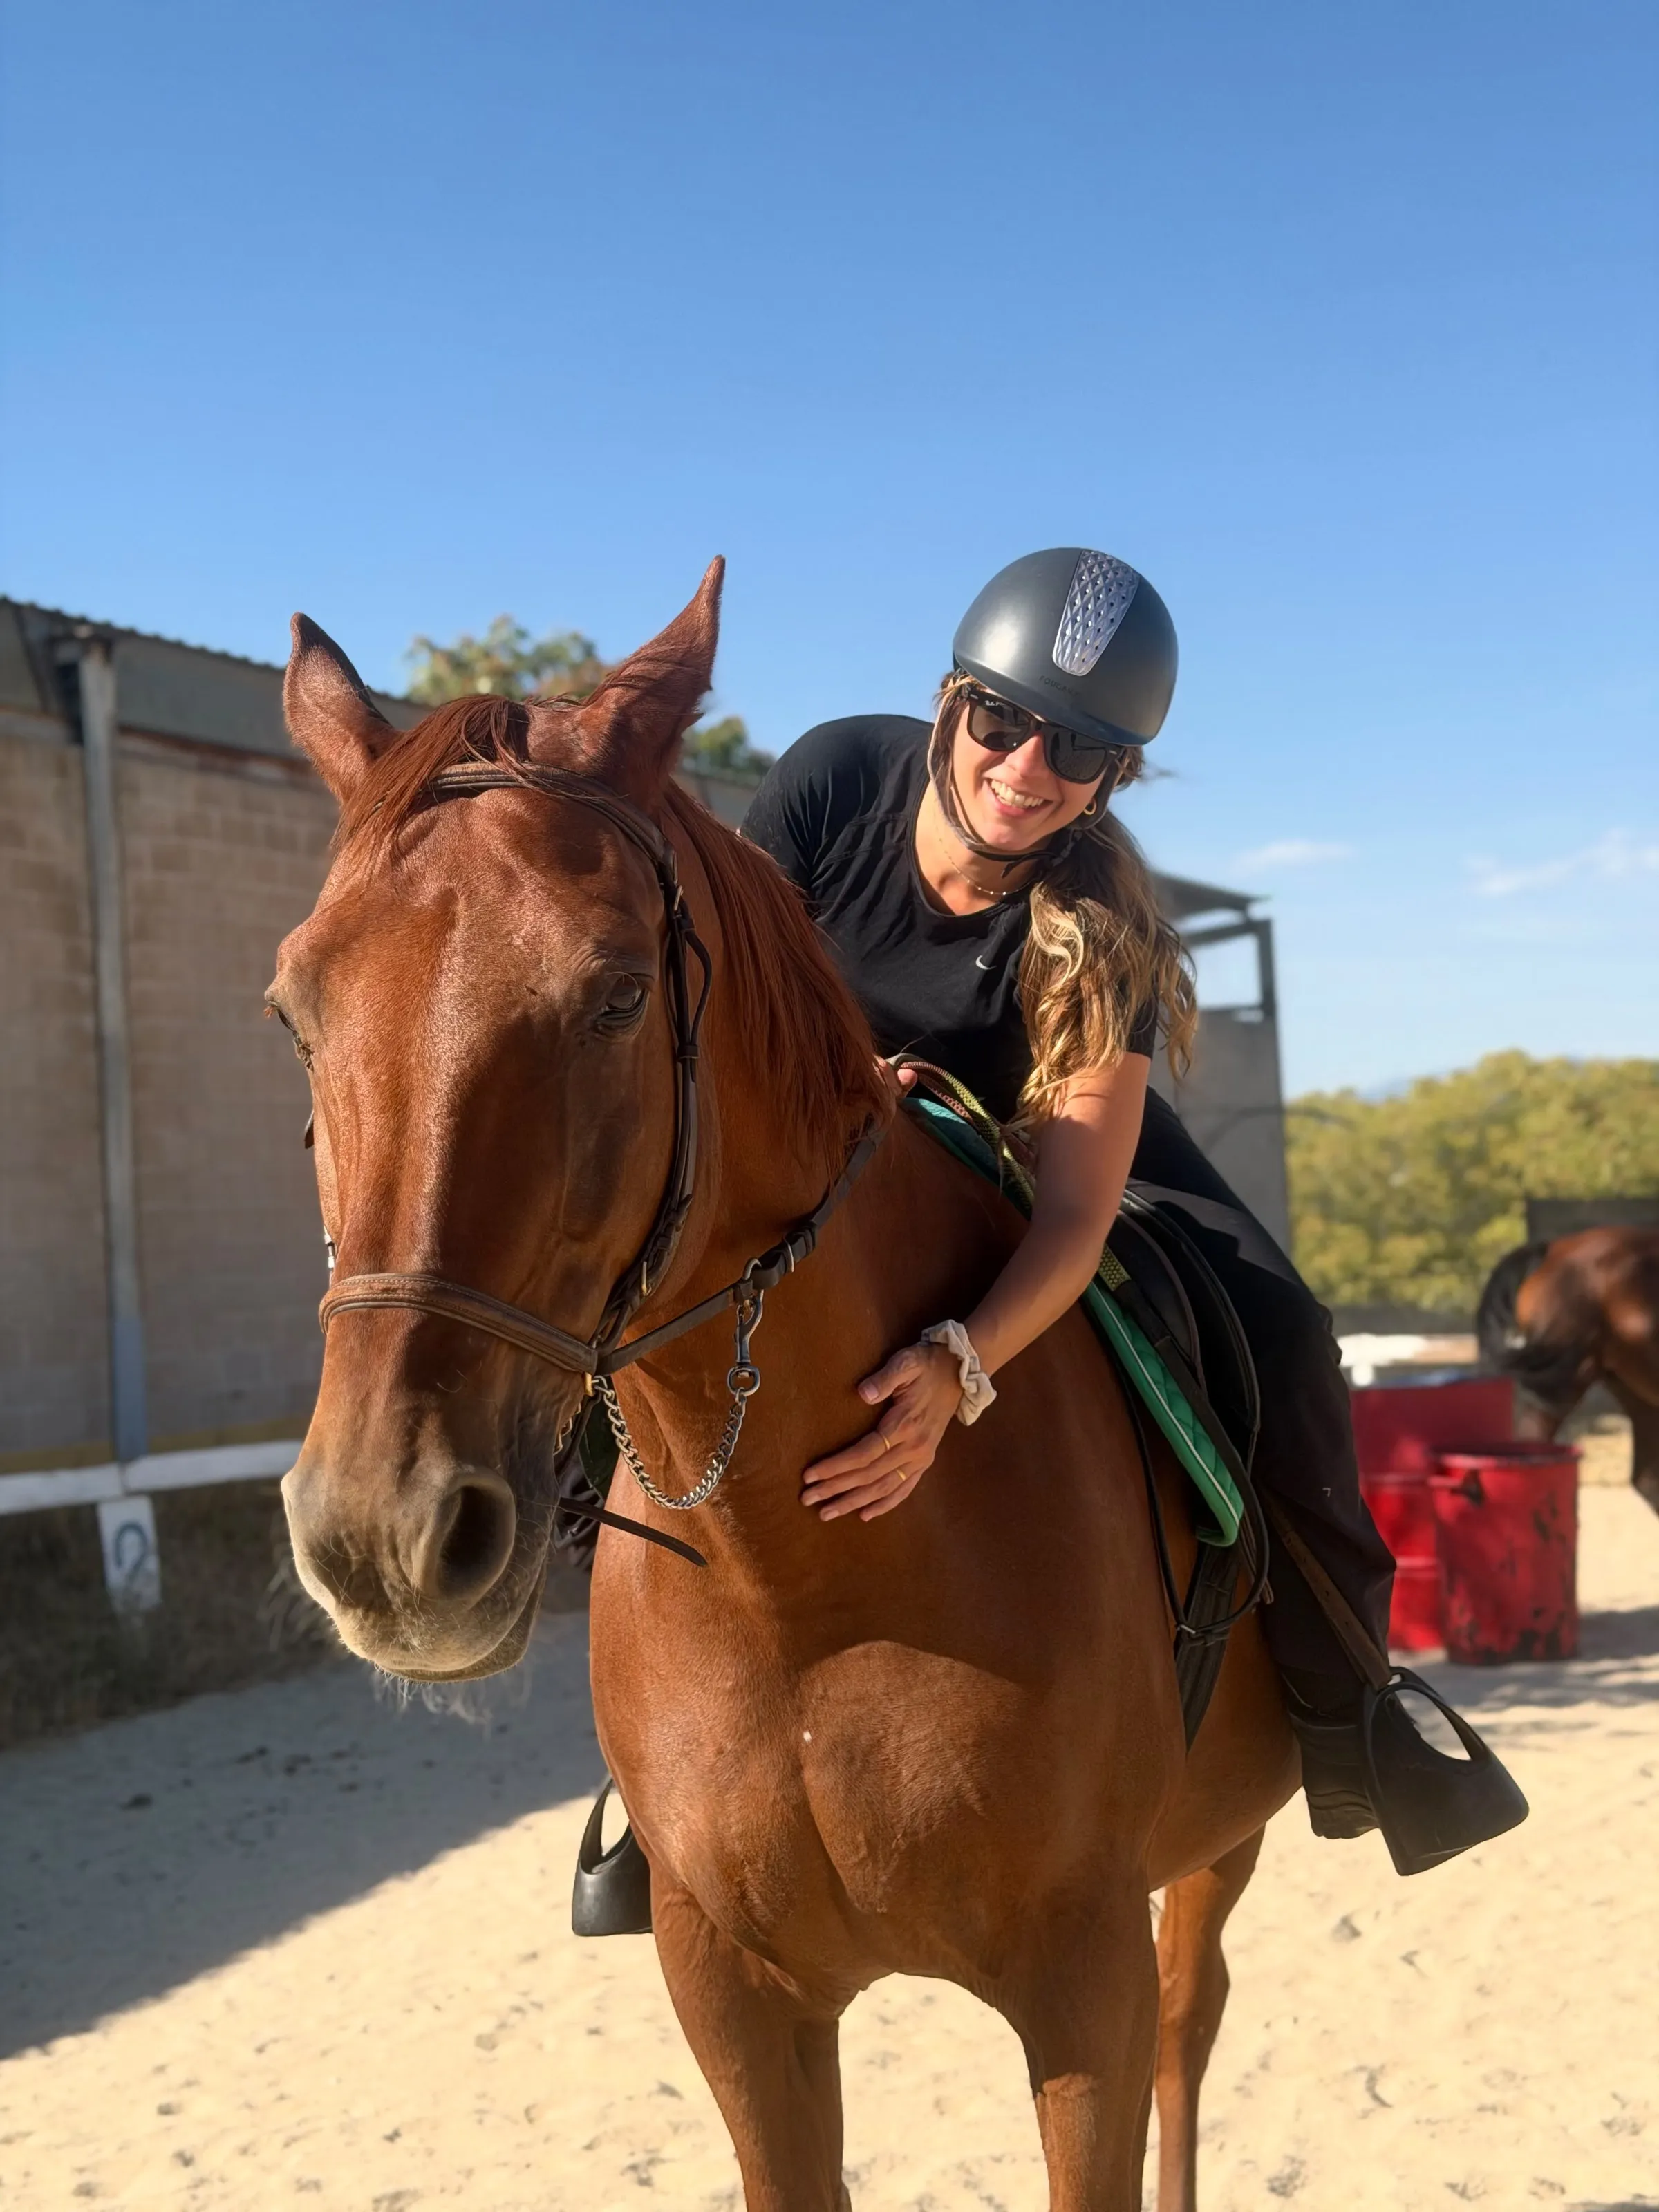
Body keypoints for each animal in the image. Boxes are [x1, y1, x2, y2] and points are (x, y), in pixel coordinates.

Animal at [272, 561, 1299, 2212]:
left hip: (1217, 1854)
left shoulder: (1082, 1995)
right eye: (294, 1010)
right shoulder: (735, 1994)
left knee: (1194, 2022)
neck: (801, 1580)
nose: (384, 1538)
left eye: (617, 996)